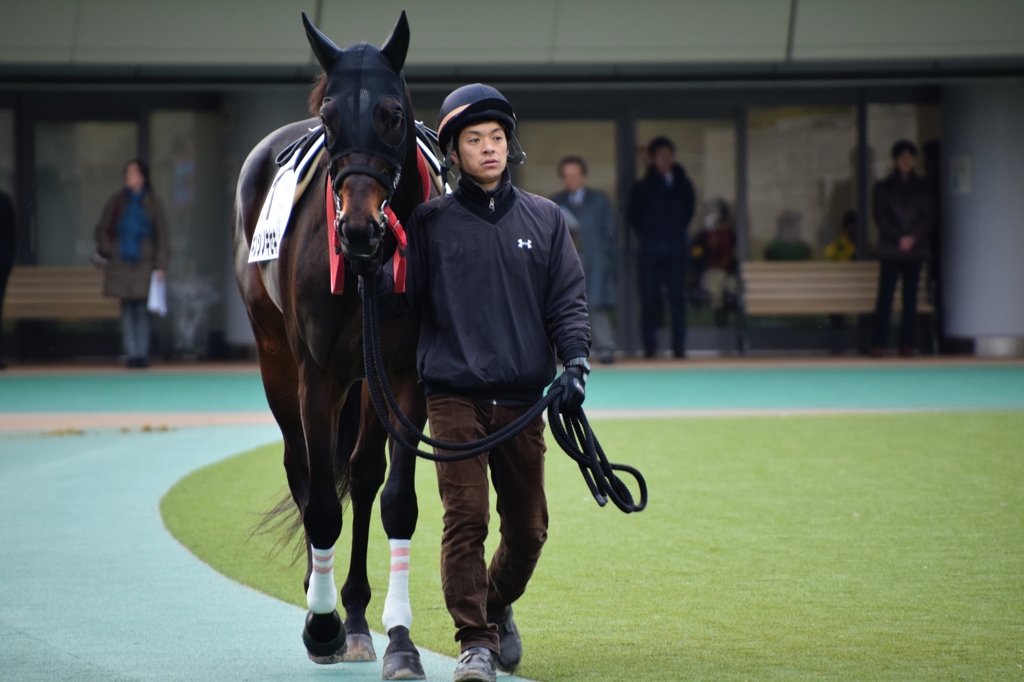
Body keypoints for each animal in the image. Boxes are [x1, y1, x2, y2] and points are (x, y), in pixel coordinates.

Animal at [232, 13, 432, 675]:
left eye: (392, 114)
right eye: (330, 117)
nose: (360, 228)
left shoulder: (403, 374)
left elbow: (394, 497)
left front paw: (397, 637)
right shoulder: (317, 373)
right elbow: (319, 500)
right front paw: (320, 626)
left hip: (365, 378)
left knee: (363, 474)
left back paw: (356, 615)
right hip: (274, 356)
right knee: (302, 467)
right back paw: (319, 605)